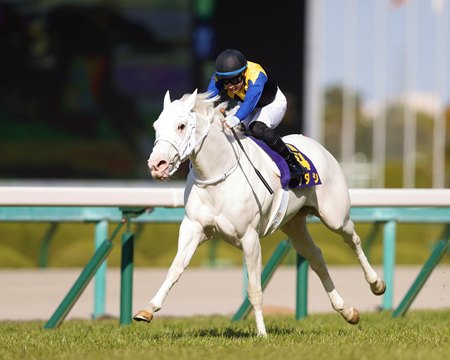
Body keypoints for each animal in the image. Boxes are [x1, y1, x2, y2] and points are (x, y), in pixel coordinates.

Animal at [133, 88, 384, 336]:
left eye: (181, 126)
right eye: (156, 125)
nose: (157, 165)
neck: (218, 175)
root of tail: (317, 146)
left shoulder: (250, 237)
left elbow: (254, 288)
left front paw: (262, 333)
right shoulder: (193, 227)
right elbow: (175, 269)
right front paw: (148, 309)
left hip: (335, 216)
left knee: (353, 239)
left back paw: (376, 284)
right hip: (294, 225)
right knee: (317, 258)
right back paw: (347, 311)